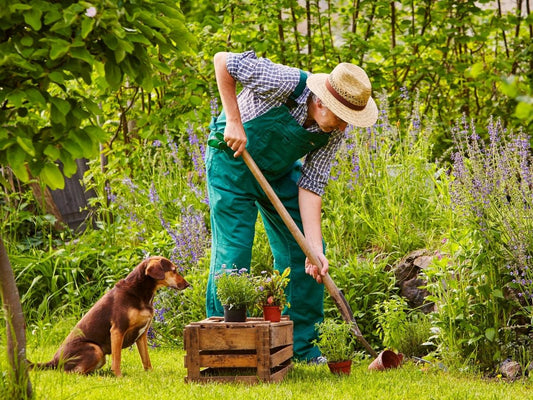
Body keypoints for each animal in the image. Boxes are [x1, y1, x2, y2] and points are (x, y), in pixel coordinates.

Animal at [33, 256, 189, 376]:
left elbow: (146, 359)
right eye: (174, 270)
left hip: (100, 356)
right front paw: (119, 376)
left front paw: (150, 373)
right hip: (95, 349)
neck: (139, 293)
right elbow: (117, 359)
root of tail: (53, 361)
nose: (188, 284)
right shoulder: (117, 330)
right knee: (71, 373)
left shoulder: (142, 335)